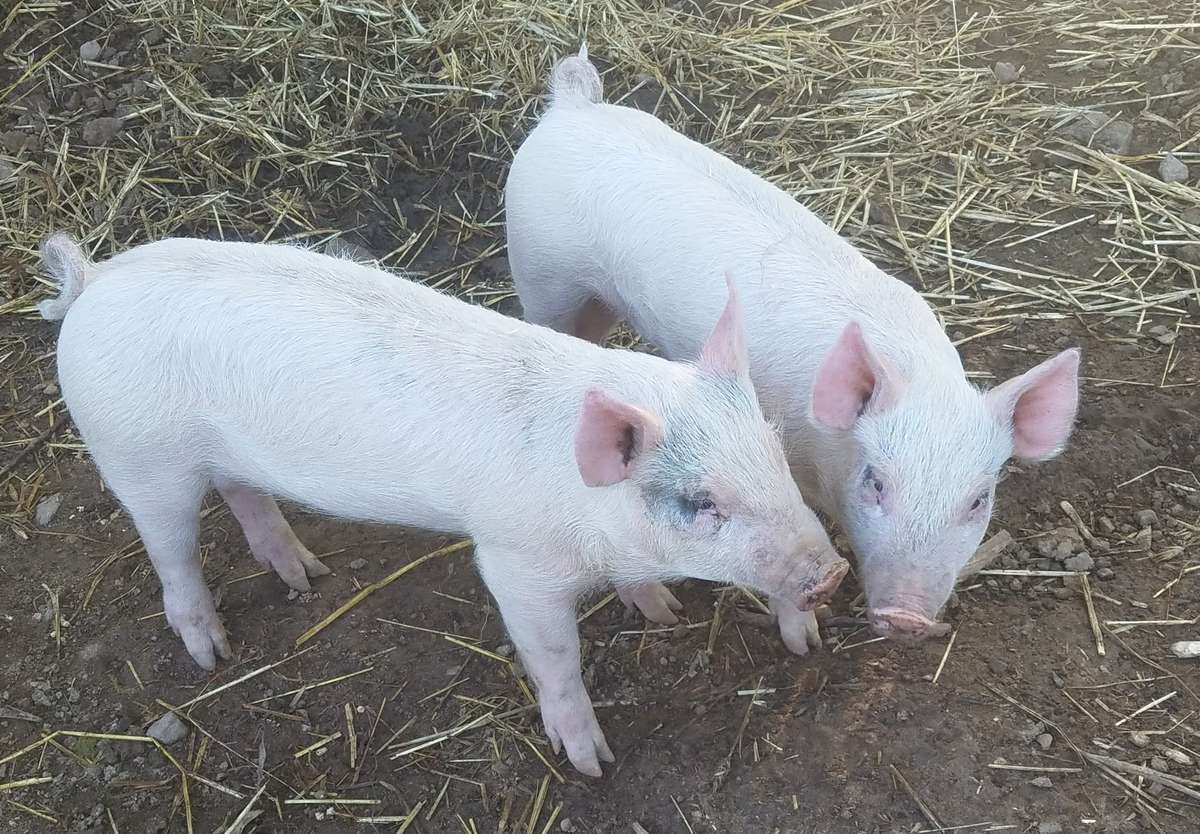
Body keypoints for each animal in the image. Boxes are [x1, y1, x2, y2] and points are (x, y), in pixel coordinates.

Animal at [38, 233, 847, 776]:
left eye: (775, 454)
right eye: (698, 501)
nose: (833, 573)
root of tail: (94, 279)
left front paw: (663, 613)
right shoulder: (516, 564)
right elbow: (556, 658)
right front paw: (591, 762)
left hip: (222, 454)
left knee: (244, 495)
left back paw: (308, 576)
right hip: (140, 458)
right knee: (172, 554)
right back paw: (214, 651)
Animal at [505, 51, 1081, 652]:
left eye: (978, 500)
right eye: (876, 481)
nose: (906, 617)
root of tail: (573, 106)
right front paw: (807, 645)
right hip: (541, 273)